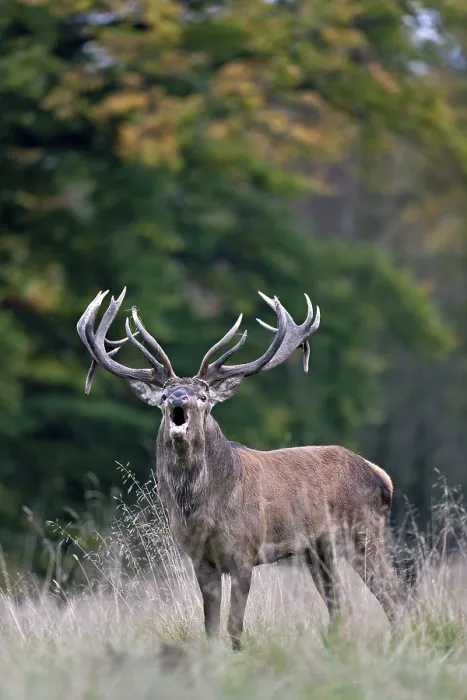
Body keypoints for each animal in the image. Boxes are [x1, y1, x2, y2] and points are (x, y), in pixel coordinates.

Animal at [77, 288, 398, 650]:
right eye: (163, 394)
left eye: (203, 395)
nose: (179, 399)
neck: (202, 508)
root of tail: (381, 476)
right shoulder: (200, 559)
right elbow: (211, 626)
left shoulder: (245, 552)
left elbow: (234, 626)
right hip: (319, 549)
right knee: (341, 605)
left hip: (364, 531)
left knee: (394, 595)